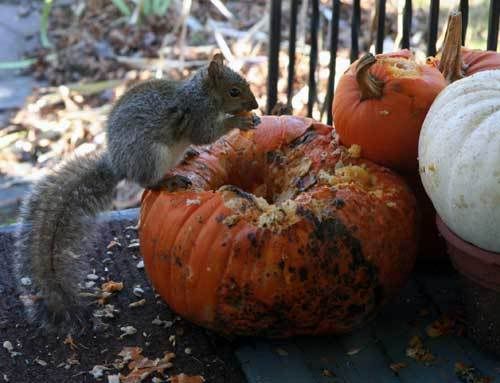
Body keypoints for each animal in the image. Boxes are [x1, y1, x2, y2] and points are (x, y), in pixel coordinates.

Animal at [15, 54, 258, 332]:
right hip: (151, 156)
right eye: (234, 91)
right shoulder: (198, 116)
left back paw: (188, 154)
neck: (201, 94)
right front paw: (239, 120)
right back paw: (169, 180)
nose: (255, 105)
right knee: (148, 182)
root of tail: (119, 165)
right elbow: (206, 134)